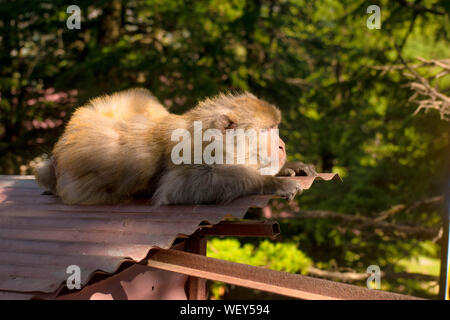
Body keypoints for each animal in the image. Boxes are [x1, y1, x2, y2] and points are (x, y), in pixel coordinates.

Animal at [35, 89, 316, 205]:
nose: (282, 146)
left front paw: (290, 168)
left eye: (276, 128)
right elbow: (182, 189)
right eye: (267, 131)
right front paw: (272, 183)